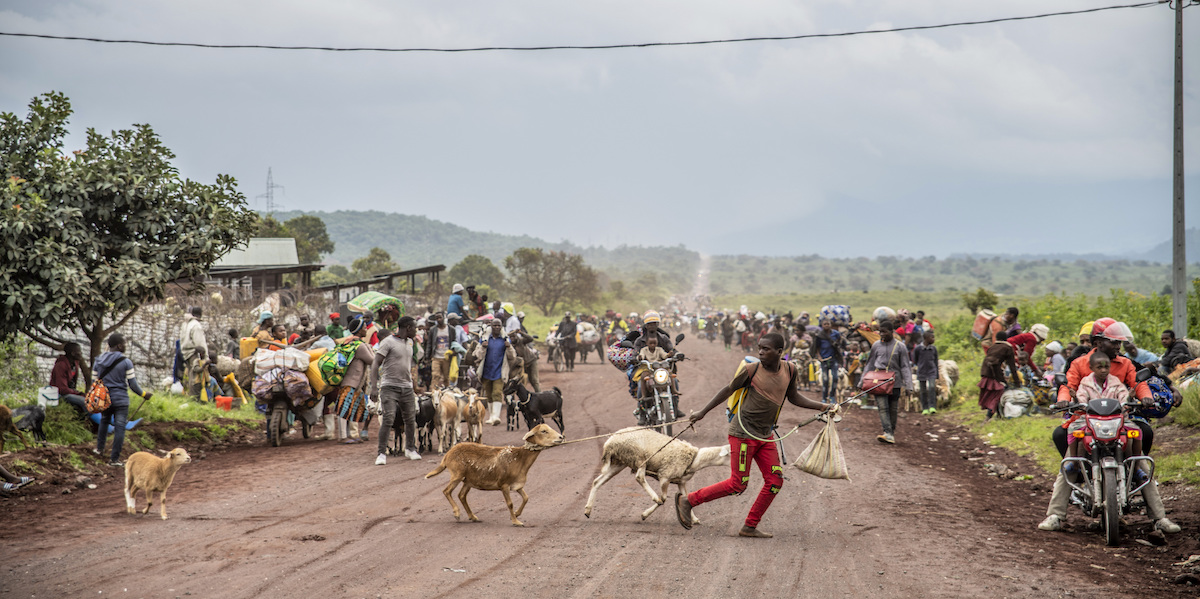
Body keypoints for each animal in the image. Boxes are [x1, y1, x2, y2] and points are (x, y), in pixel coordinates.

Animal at [424, 424, 564, 528]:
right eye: (544, 431)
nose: (561, 437)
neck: (520, 459)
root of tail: (448, 454)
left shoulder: (517, 485)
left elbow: (526, 498)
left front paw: (517, 514)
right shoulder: (504, 485)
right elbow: (510, 503)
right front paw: (516, 521)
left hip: (468, 480)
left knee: (461, 495)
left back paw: (473, 517)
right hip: (456, 474)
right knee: (446, 491)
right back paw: (457, 513)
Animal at [583, 427, 724, 525]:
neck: (694, 458)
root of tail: (609, 443)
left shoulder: (681, 482)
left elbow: (686, 496)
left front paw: (694, 519)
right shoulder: (664, 476)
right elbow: (664, 498)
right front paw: (645, 514)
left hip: (619, 463)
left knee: (597, 481)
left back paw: (588, 510)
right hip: (639, 457)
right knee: (639, 477)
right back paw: (655, 498)